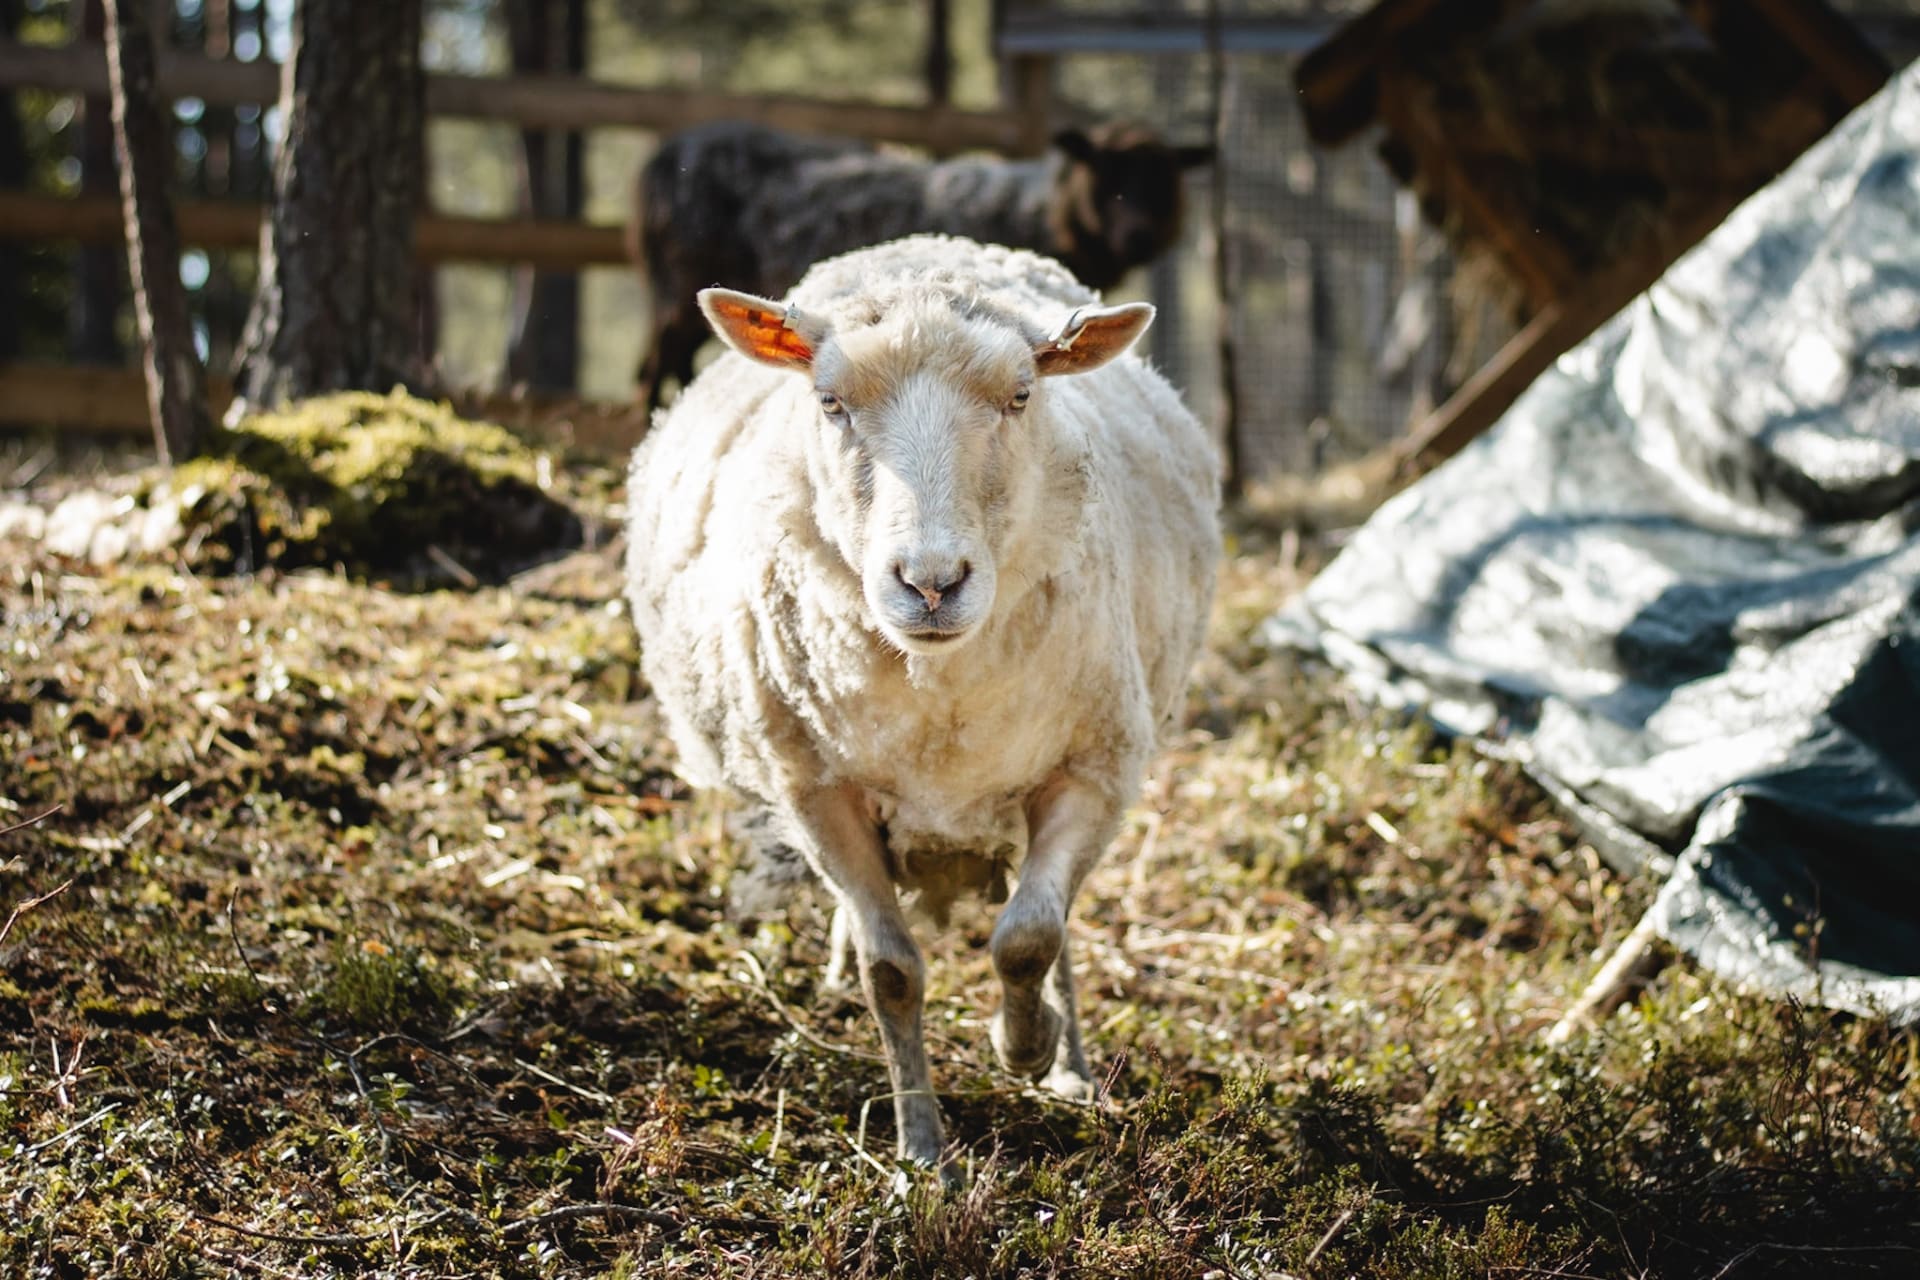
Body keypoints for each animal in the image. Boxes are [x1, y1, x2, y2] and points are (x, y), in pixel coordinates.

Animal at [623, 234, 1221, 1176]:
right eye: (829, 401)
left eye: (1021, 396)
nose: (931, 583)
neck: (941, 703)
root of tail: (928, 245)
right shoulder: (816, 792)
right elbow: (893, 973)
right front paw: (922, 1154)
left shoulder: (1091, 771)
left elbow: (1031, 937)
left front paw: (1029, 1048)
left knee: (1056, 924)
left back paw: (1071, 1068)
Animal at [630, 120, 1214, 412]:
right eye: (1105, 174)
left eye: (1165, 181)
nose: (1138, 235)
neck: (1039, 211)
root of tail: (663, 158)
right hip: (679, 278)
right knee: (659, 363)